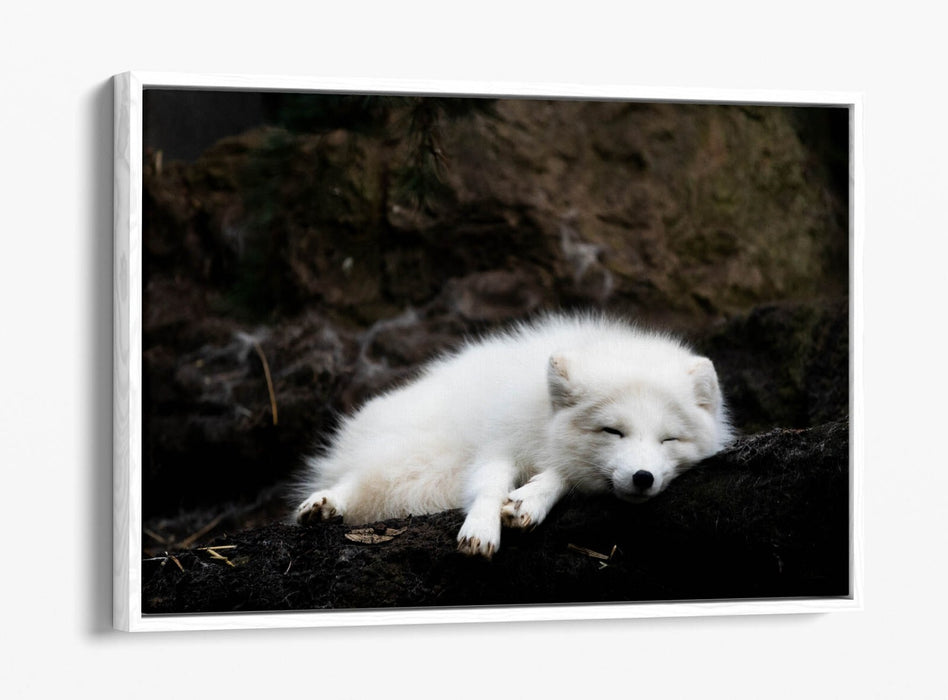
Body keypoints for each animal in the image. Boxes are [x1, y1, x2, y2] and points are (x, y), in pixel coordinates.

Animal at [294, 313, 733, 558]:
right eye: (613, 430)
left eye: (669, 440)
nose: (643, 478)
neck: (541, 417)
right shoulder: (498, 442)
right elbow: (489, 484)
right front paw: (481, 528)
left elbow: (561, 476)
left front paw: (529, 500)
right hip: (415, 455)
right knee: (360, 478)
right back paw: (324, 504)